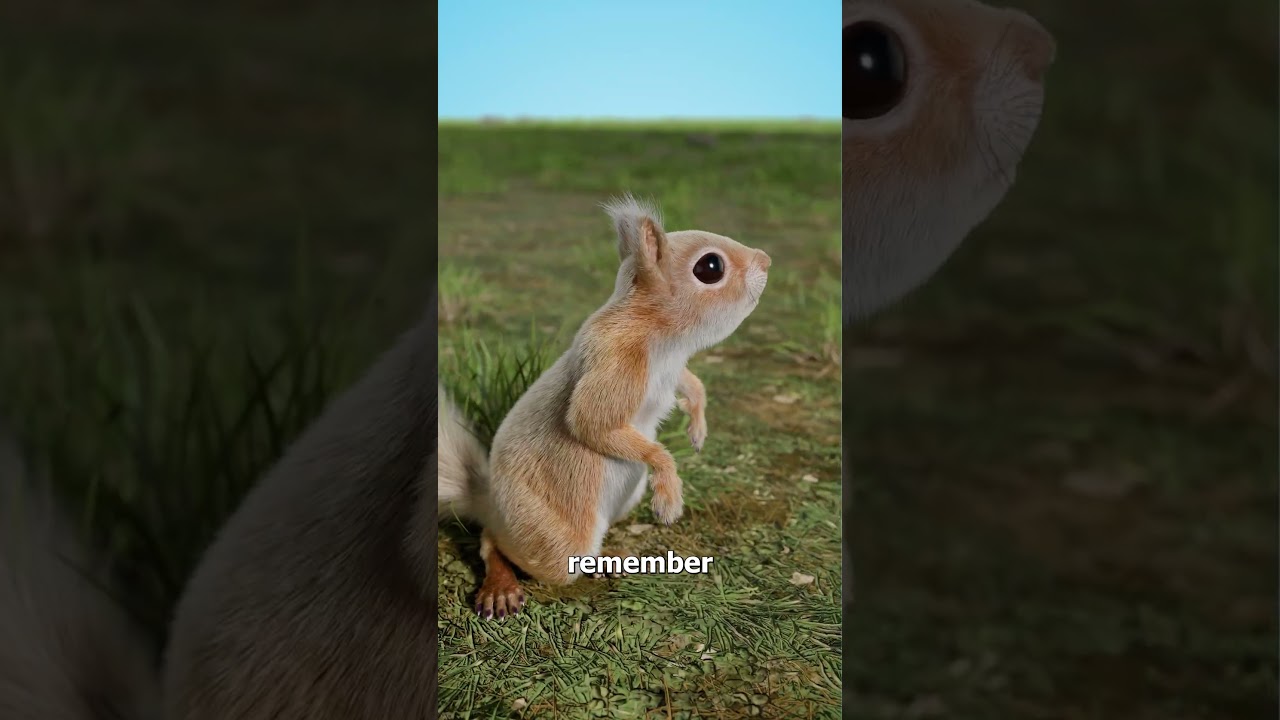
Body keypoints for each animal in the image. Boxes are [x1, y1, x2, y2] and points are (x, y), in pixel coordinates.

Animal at [439, 195, 772, 619]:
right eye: (710, 267)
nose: (767, 260)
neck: (661, 334)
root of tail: (489, 501)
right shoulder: (614, 362)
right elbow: (590, 423)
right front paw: (669, 496)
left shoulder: (672, 369)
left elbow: (693, 386)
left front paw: (697, 429)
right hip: (552, 539)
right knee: (494, 539)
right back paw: (501, 585)